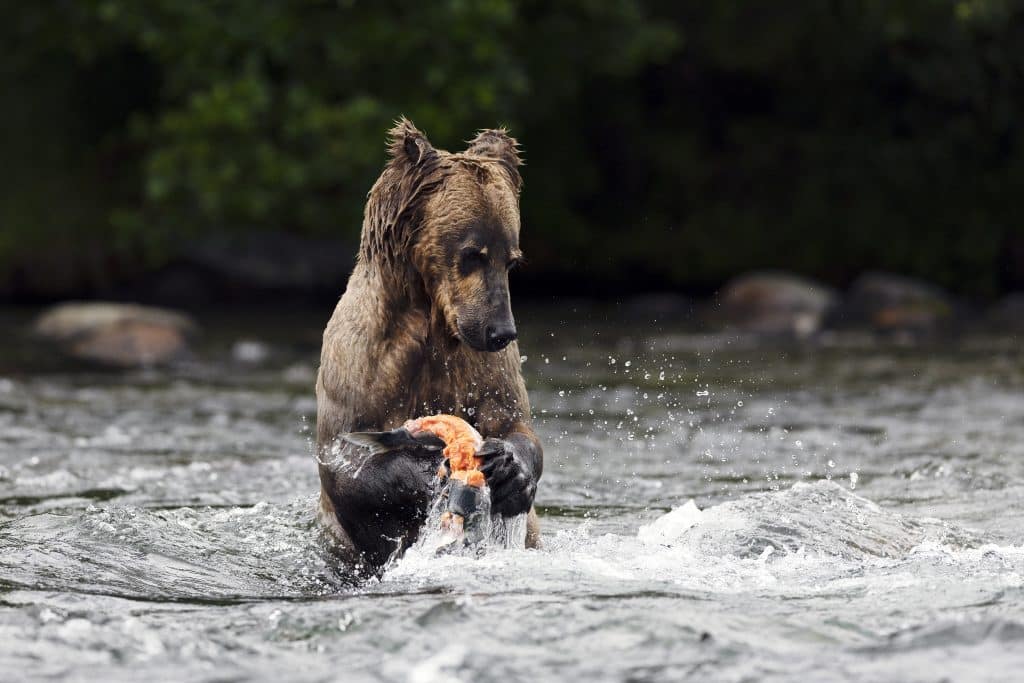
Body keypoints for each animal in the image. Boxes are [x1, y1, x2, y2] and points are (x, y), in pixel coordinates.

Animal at [315, 118, 543, 571]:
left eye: (511, 259)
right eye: (472, 254)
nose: (500, 331)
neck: (431, 321)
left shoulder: (485, 367)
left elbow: (514, 419)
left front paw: (509, 468)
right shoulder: (359, 361)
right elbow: (344, 457)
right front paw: (427, 470)